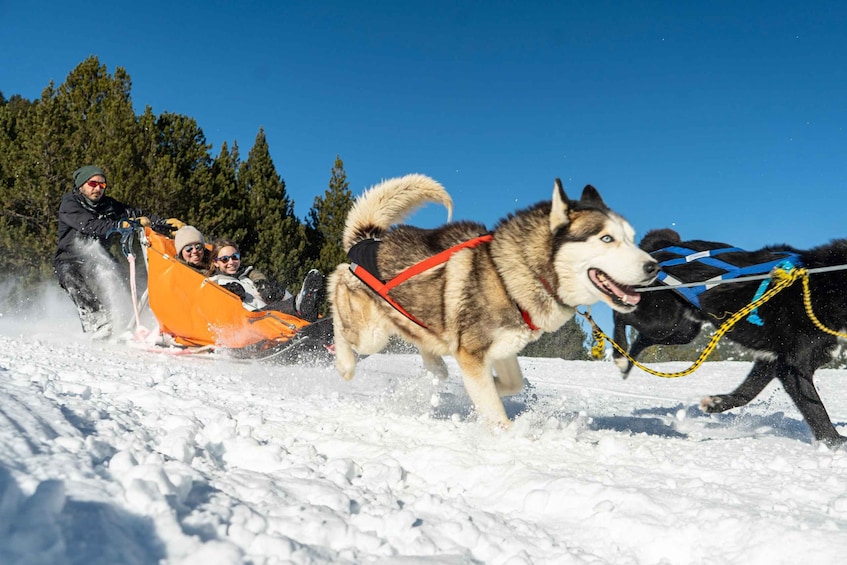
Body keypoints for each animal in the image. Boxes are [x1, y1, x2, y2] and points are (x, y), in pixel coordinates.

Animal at [328, 174, 660, 426]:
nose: (654, 267)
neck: (507, 275)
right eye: (606, 238)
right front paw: (511, 436)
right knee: (338, 299)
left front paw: (491, 389)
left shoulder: (503, 348)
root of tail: (368, 240)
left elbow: (512, 384)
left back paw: (437, 365)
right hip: (370, 333)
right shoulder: (473, 354)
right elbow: (494, 411)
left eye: (631, 238)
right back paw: (345, 365)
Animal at [612, 228, 847, 446]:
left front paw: (715, 403)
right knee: (620, 313)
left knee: (642, 338)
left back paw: (626, 363)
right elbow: (816, 410)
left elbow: (746, 393)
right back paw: (619, 355)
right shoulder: (794, 366)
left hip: (680, 330)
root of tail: (658, 249)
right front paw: (835, 444)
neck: (828, 283)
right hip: (662, 320)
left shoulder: (772, 360)